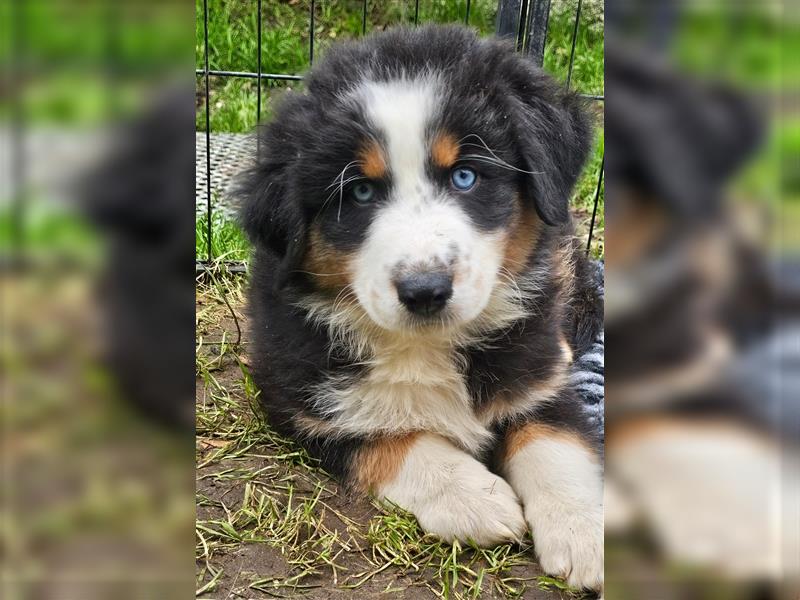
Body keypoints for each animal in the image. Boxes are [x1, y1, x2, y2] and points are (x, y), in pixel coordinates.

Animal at [241, 24, 604, 592]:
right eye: (359, 192)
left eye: (465, 177)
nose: (425, 291)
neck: (427, 344)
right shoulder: (299, 397)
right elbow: (394, 438)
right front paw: (476, 498)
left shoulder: (541, 368)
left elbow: (555, 441)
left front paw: (584, 531)